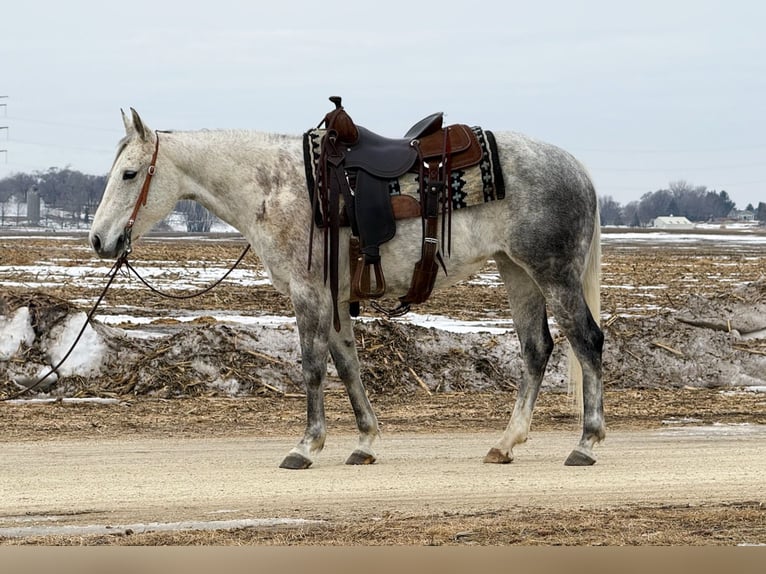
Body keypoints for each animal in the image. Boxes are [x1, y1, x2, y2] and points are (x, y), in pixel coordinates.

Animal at [89, 108, 604, 470]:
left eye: (129, 174)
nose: (98, 240)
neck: (274, 188)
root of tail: (576, 167)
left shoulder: (309, 294)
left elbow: (314, 368)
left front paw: (306, 446)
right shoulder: (335, 299)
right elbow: (349, 368)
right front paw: (365, 442)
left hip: (553, 274)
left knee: (587, 341)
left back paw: (587, 442)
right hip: (517, 272)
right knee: (536, 348)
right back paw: (505, 443)